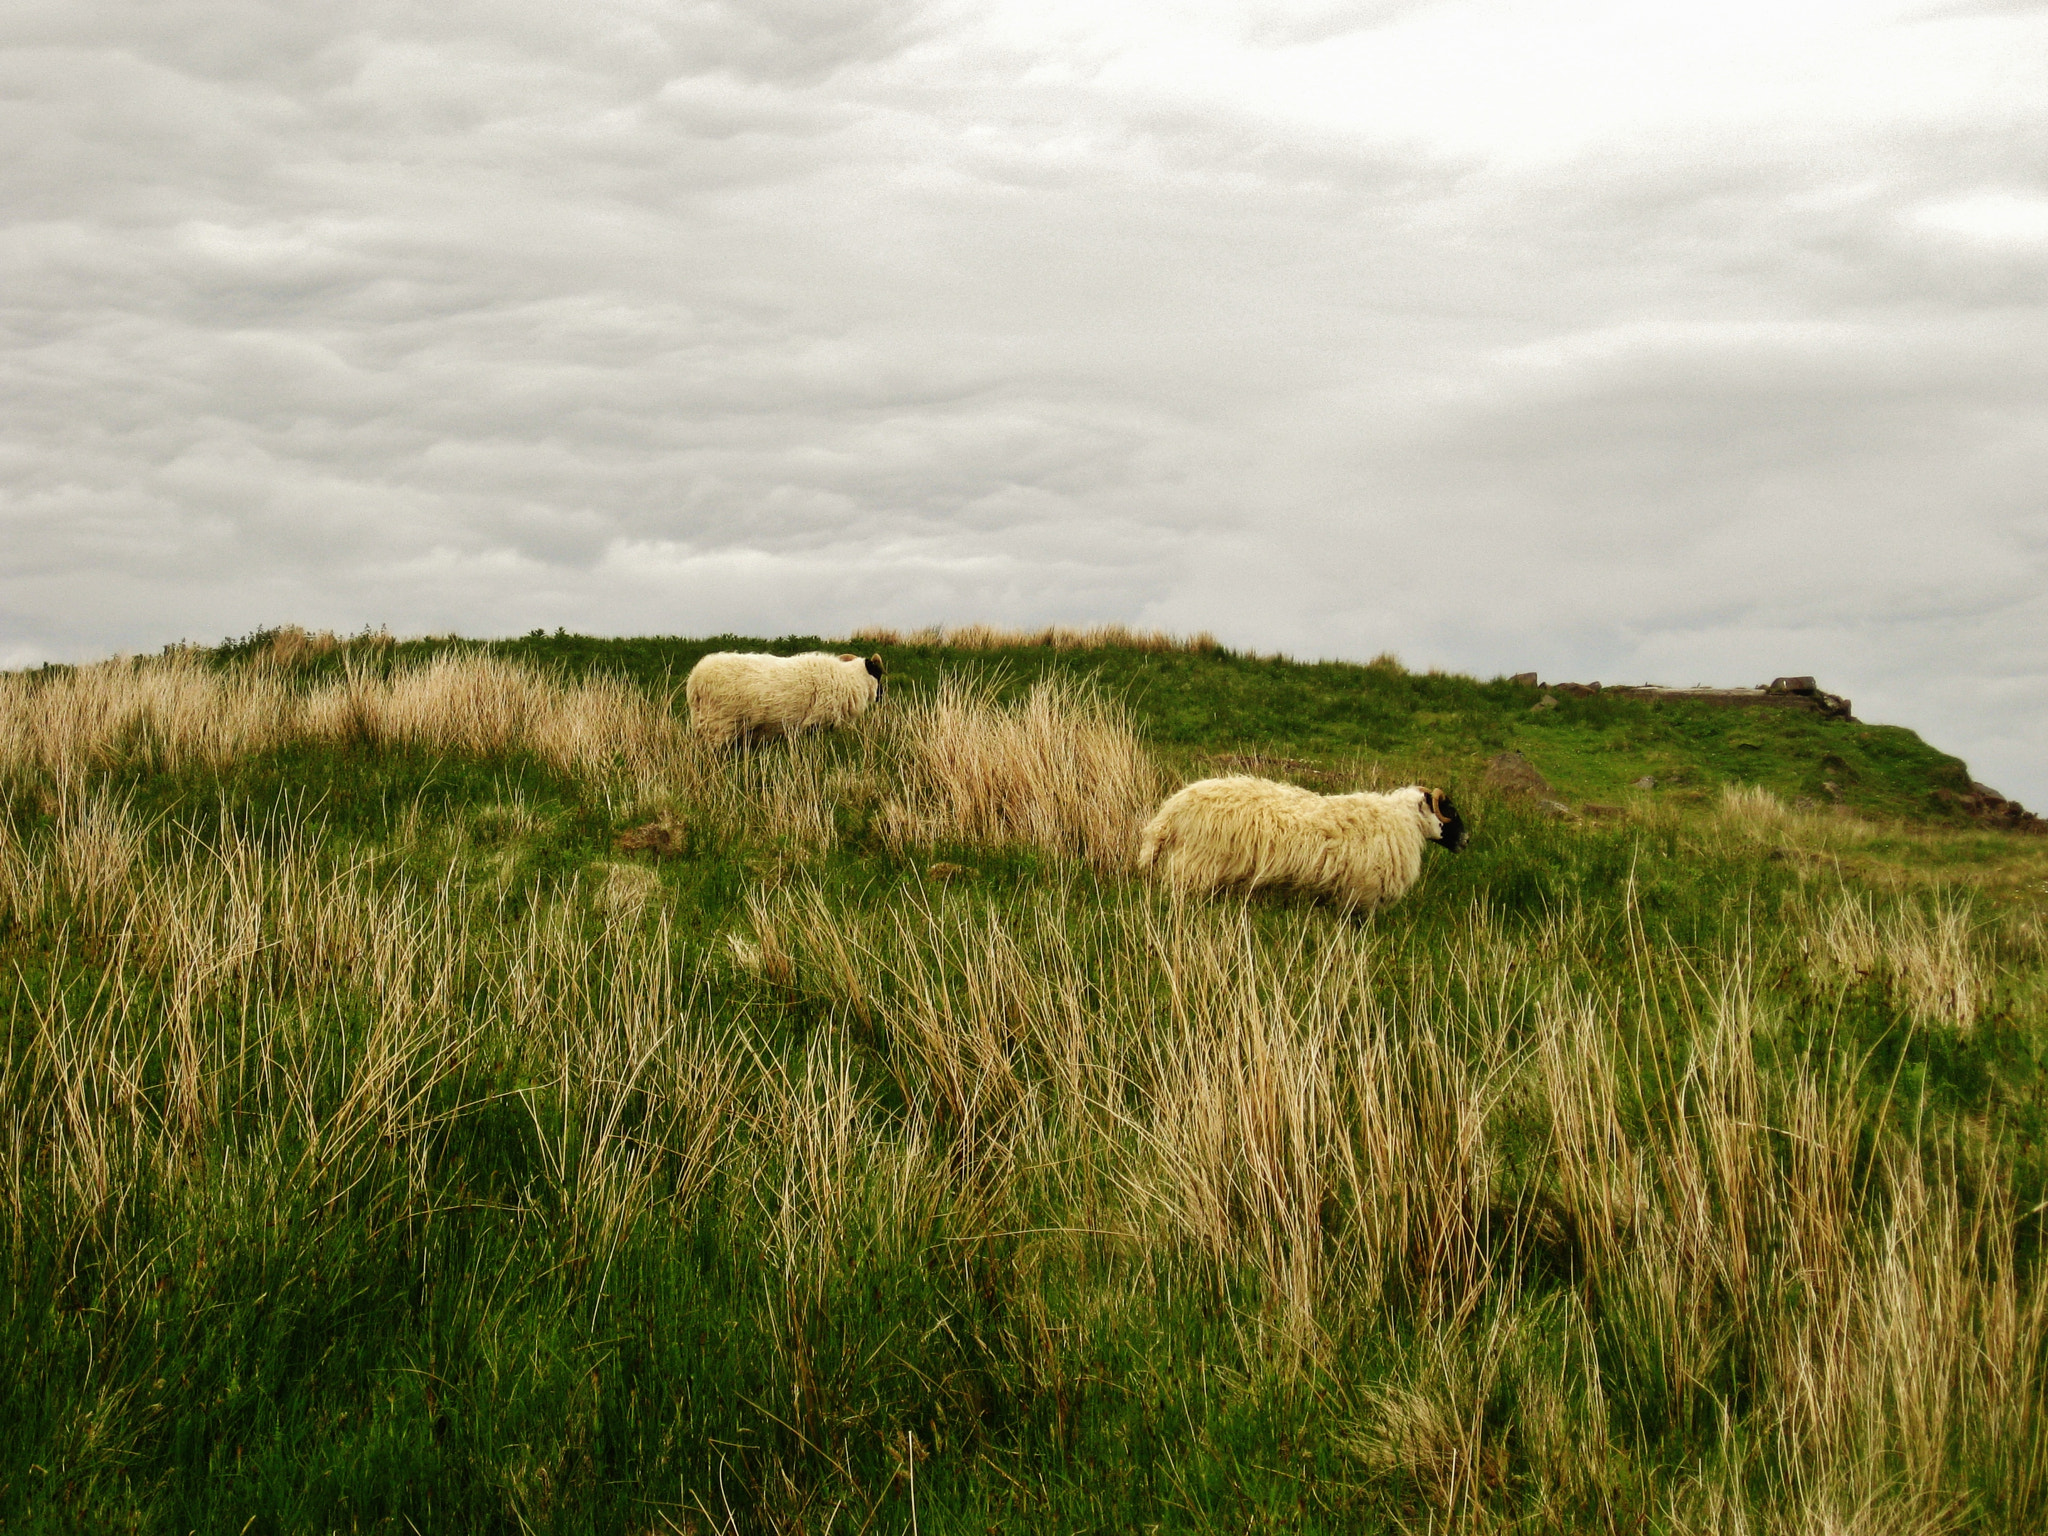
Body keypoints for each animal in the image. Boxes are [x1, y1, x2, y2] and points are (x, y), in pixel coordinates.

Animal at [684, 651, 884, 753]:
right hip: (718, 724)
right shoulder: (814, 724)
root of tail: (695, 681)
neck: (850, 679)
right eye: (879, 673)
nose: (882, 695)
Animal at [1138, 782, 1474, 913]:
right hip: (1192, 866)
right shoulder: (1361, 893)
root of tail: (1171, 811)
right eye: (1450, 810)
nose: (1467, 840)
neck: (1403, 821)